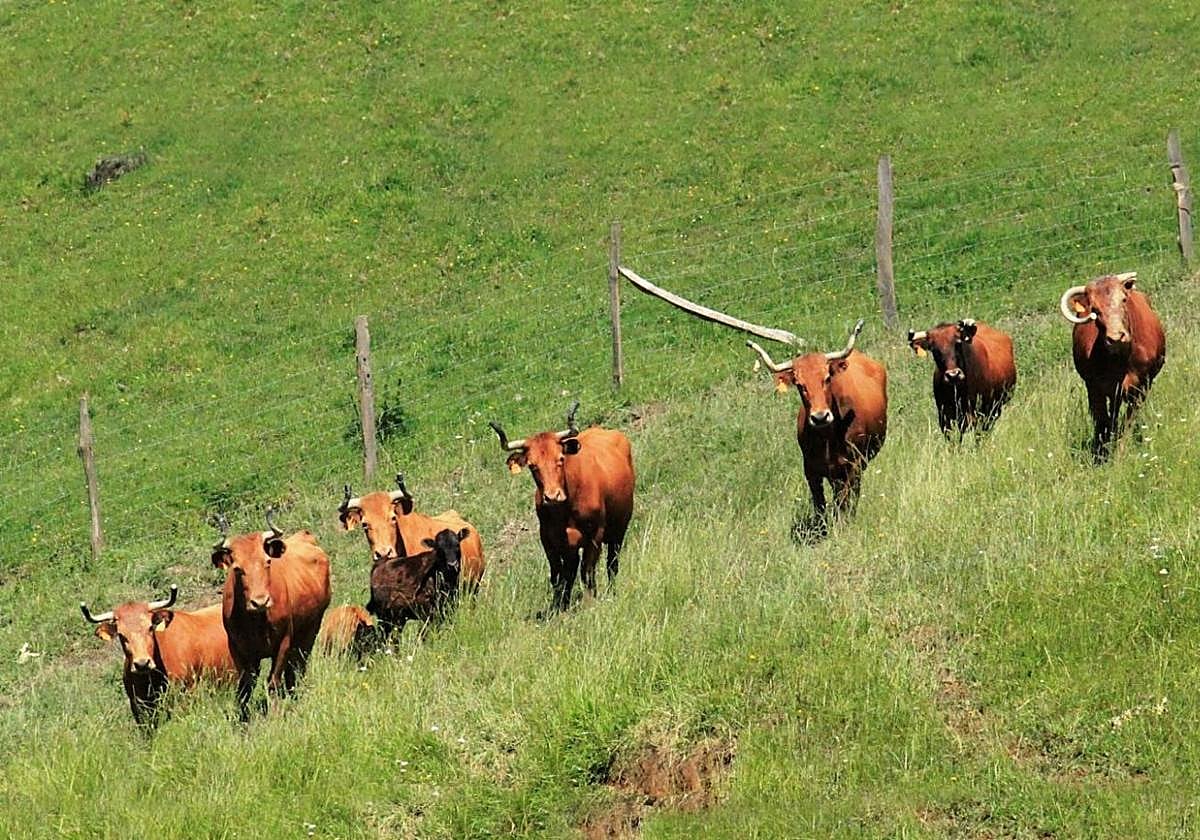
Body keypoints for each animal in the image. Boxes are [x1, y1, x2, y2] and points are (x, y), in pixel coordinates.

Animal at [210, 510, 331, 720]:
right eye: (237, 569)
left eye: (267, 562)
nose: (260, 601)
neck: (255, 622)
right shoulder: (238, 649)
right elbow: (245, 687)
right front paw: (244, 719)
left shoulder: (283, 643)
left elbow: (273, 681)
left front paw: (274, 713)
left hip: (311, 630)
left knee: (298, 666)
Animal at [489, 401, 635, 612]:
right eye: (532, 466)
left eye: (560, 459)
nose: (552, 496)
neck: (566, 509)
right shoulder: (549, 539)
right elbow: (558, 575)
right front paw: (559, 606)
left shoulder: (595, 535)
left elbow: (587, 571)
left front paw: (590, 602)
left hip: (619, 529)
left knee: (611, 563)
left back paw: (611, 591)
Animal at [747, 319, 887, 530]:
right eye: (799, 385)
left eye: (827, 378)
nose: (820, 417)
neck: (828, 438)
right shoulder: (811, 470)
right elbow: (820, 505)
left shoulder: (852, 466)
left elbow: (845, 502)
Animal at [1060, 271, 1166, 460]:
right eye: (1094, 309)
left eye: (1123, 300)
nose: (1116, 337)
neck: (1121, 361)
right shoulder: (1095, 388)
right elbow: (1103, 420)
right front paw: (1102, 452)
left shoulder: (1141, 387)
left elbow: (1128, 420)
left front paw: (1120, 452)